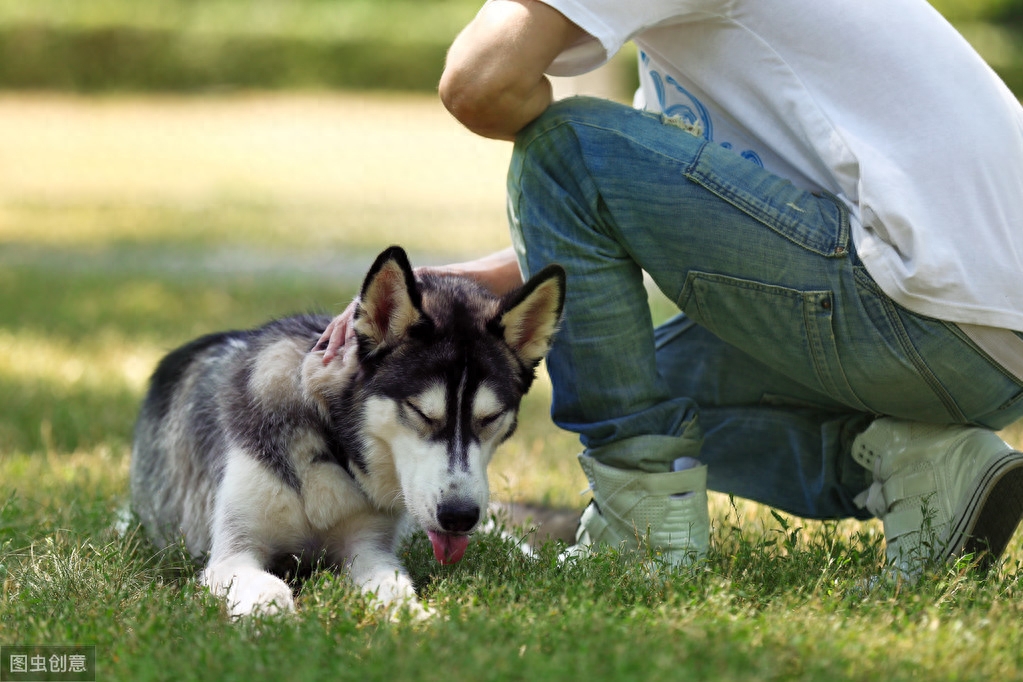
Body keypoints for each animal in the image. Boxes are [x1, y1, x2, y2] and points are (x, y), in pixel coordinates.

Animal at [129, 246, 568, 617]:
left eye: (489, 418)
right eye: (420, 413)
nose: (459, 517)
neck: (331, 447)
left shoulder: (368, 548)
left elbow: (395, 587)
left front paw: (415, 619)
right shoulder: (232, 555)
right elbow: (269, 588)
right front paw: (273, 621)